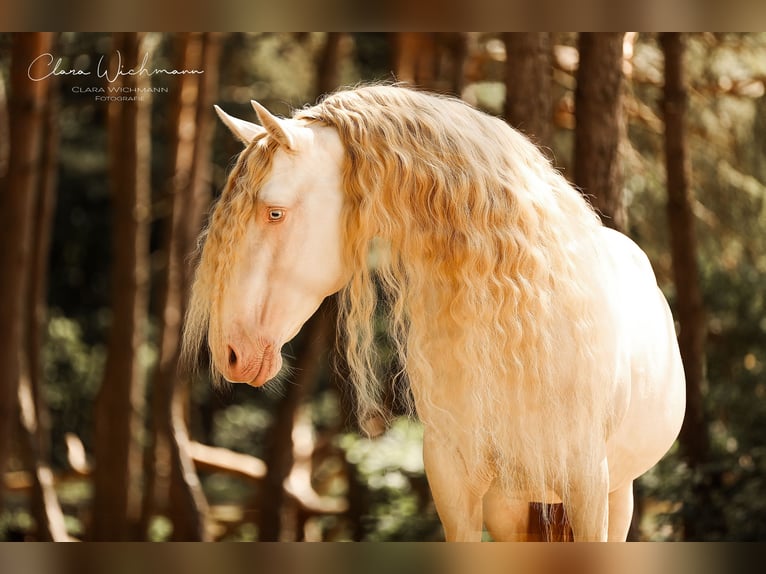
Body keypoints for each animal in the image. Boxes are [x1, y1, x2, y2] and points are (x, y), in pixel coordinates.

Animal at [186, 85, 688, 544]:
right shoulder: (455, 481)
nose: (231, 352)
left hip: (615, 494)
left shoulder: (588, 485)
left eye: (275, 213)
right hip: (512, 504)